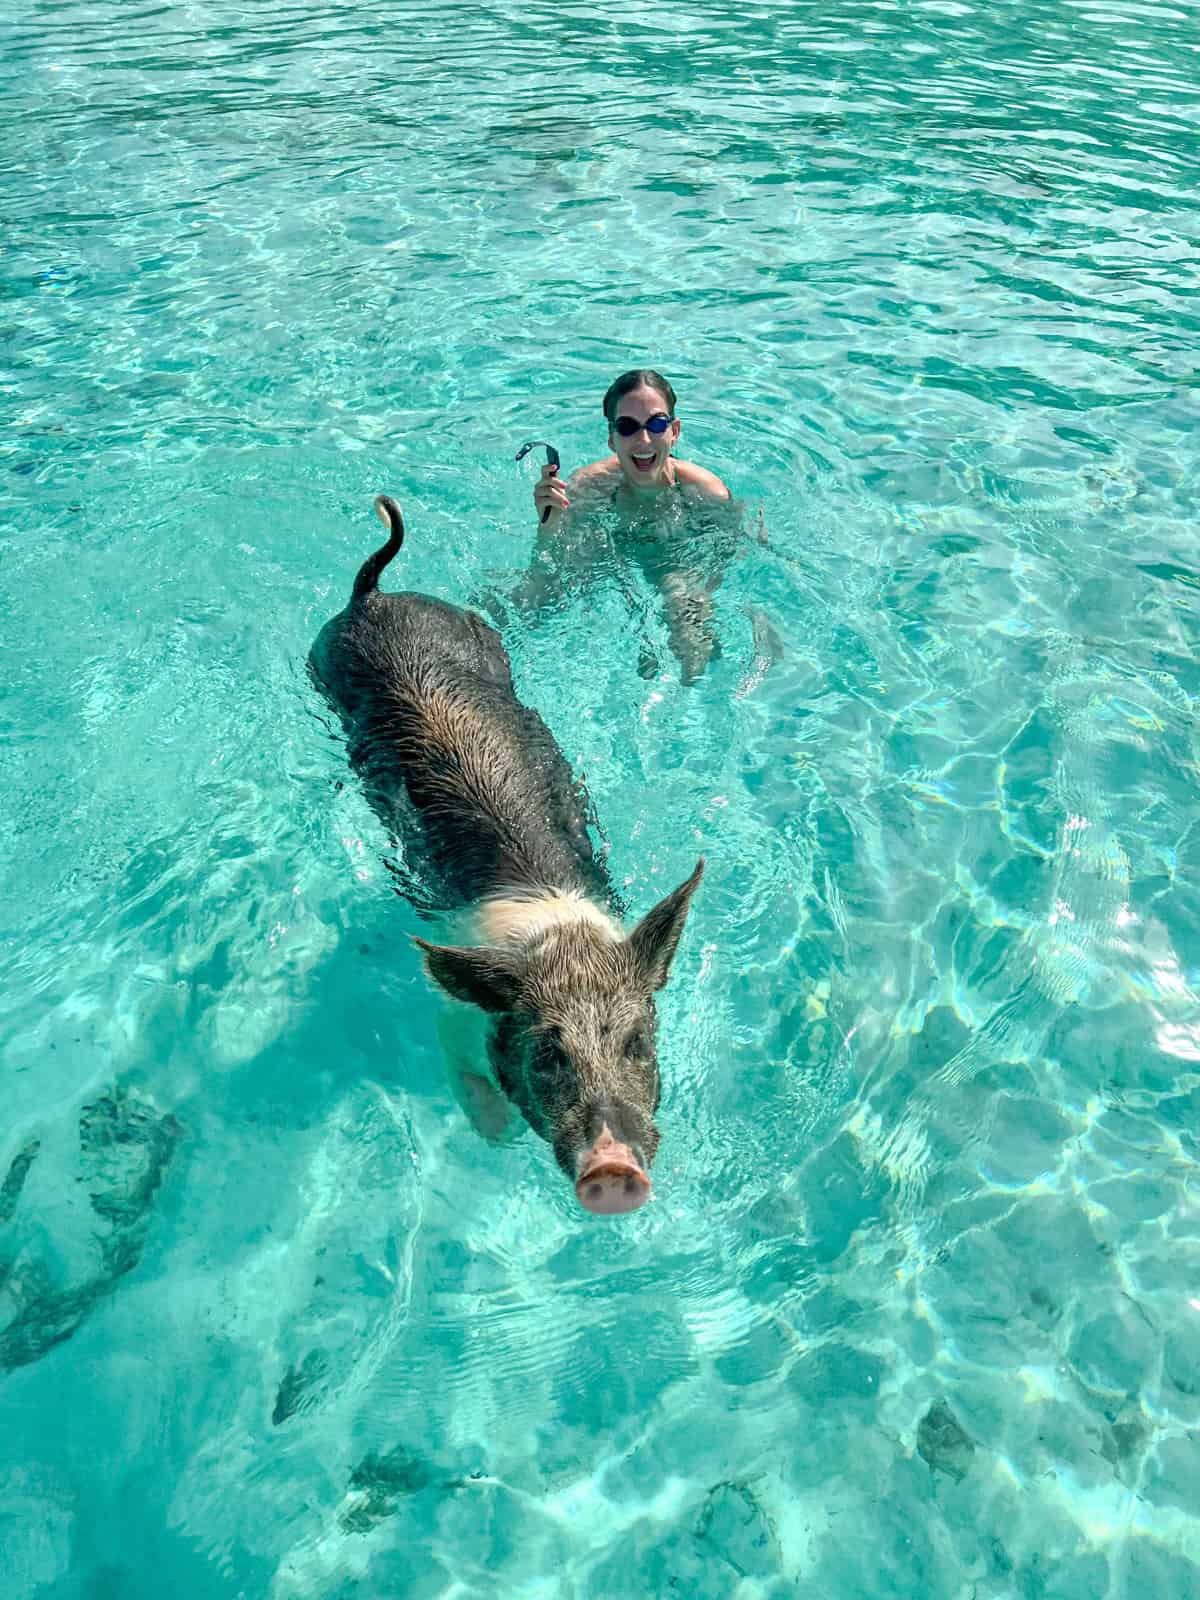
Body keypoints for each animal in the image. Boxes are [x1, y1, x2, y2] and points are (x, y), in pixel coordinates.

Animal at [310, 496, 704, 1209]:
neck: (554, 932)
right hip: (319, 662)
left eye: (636, 1040)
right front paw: (496, 1138)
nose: (614, 1169)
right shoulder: (450, 1018)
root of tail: (374, 597)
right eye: (547, 1052)